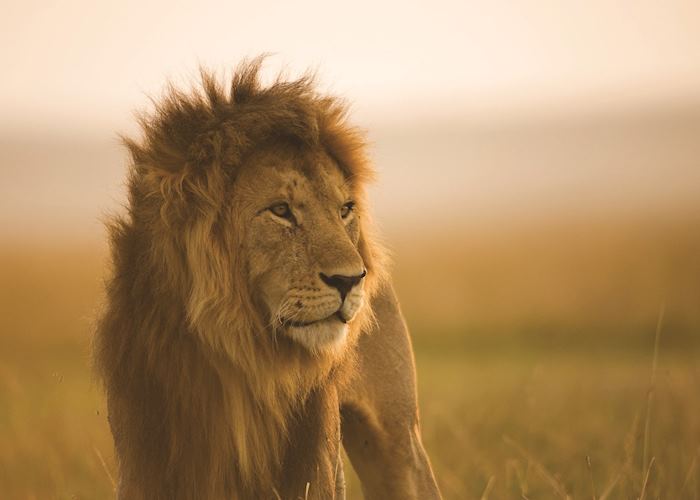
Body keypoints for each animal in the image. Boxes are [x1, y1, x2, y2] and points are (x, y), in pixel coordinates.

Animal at [94, 59, 441, 500]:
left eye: (345, 209)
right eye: (280, 210)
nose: (352, 279)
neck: (238, 358)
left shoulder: (311, 467)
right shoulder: (147, 459)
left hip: (397, 440)